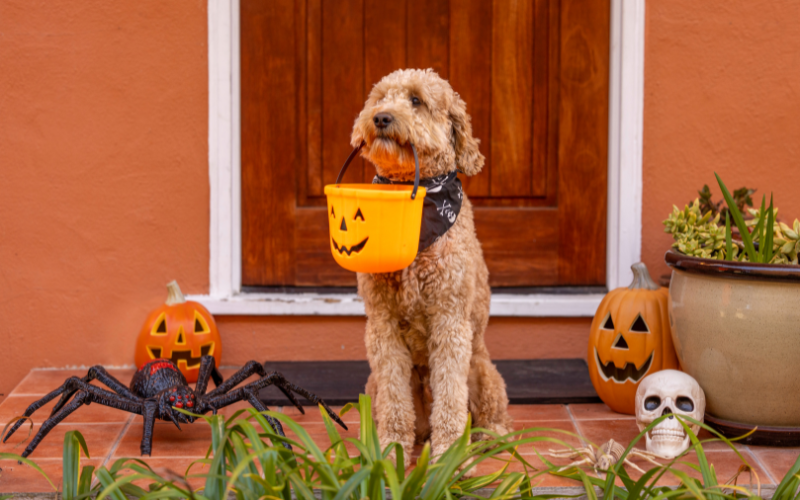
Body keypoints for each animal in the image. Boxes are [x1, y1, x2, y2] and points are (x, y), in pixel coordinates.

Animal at [354, 68, 516, 466]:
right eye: (380, 98)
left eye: (416, 100)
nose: (381, 117)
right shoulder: (382, 325)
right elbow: (395, 400)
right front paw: (391, 448)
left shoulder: (450, 320)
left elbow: (451, 398)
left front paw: (448, 456)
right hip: (372, 384)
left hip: (483, 371)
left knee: (491, 415)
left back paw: (489, 438)